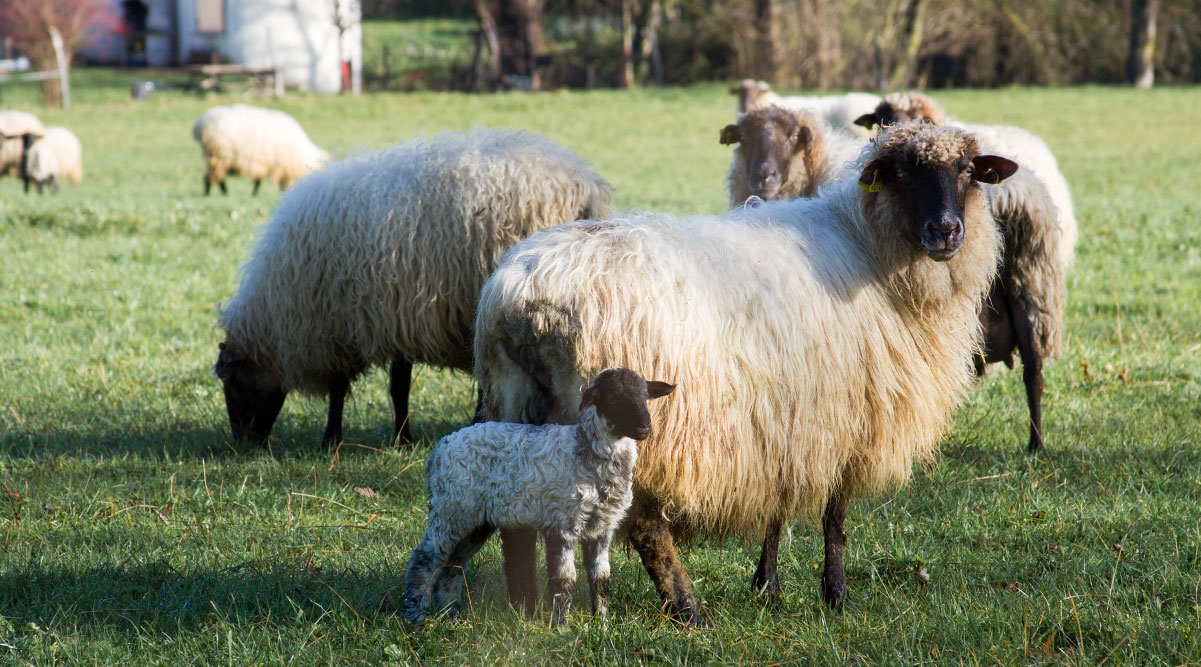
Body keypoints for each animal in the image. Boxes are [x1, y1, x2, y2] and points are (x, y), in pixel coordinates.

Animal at [192, 104, 329, 196]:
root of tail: (200, 124)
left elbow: (258, 180)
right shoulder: (278, 166)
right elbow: (261, 181)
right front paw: (255, 193)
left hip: (216, 156)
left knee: (214, 177)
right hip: (218, 155)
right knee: (213, 177)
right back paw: (217, 193)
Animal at [214, 128, 613, 448]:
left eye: (231, 381)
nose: (243, 444)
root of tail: (584, 185)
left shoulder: (339, 324)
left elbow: (344, 388)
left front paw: (332, 439)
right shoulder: (396, 317)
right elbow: (398, 386)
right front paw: (401, 437)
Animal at [405, 367, 675, 625]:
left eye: (644, 395)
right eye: (612, 397)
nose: (645, 427)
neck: (585, 453)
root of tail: (439, 451)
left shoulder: (601, 527)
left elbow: (601, 579)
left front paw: (602, 625)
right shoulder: (561, 523)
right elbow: (565, 579)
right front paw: (561, 625)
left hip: (476, 519)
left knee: (454, 563)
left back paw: (451, 614)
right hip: (451, 507)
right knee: (424, 559)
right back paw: (418, 616)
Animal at [474, 123, 1017, 625]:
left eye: (968, 171)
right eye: (901, 173)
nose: (945, 231)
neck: (870, 249)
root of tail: (525, 297)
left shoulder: (784, 422)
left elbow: (778, 509)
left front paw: (767, 586)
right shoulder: (845, 420)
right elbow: (835, 516)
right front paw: (836, 595)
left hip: (515, 399)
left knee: (515, 513)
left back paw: (524, 607)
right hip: (634, 417)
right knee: (646, 524)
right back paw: (687, 609)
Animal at [854, 91, 1073, 453]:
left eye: (968, 170)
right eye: (901, 173)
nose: (944, 229)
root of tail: (1002, 195)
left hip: (1030, 282)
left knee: (1031, 370)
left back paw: (1034, 446)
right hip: (1027, 280)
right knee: (1034, 370)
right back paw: (1036, 444)